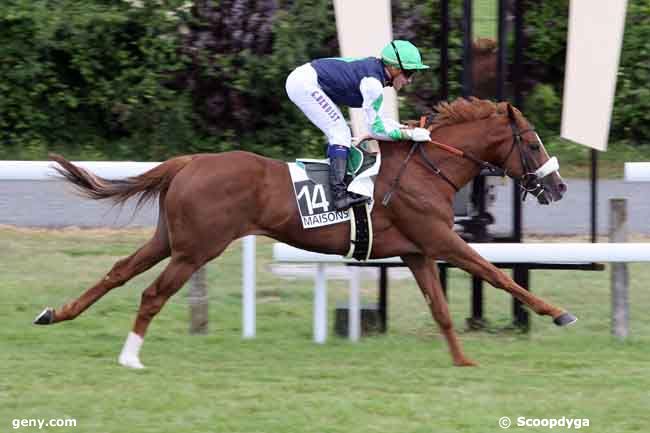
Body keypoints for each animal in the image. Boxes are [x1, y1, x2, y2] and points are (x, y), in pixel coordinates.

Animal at [34, 98, 572, 368]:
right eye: (531, 142)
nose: (559, 186)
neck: (427, 169)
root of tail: (191, 161)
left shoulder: (418, 251)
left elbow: (440, 308)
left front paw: (462, 361)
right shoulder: (440, 241)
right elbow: (495, 273)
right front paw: (559, 313)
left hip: (170, 239)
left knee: (118, 272)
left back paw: (55, 313)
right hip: (197, 248)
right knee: (151, 293)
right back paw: (129, 357)